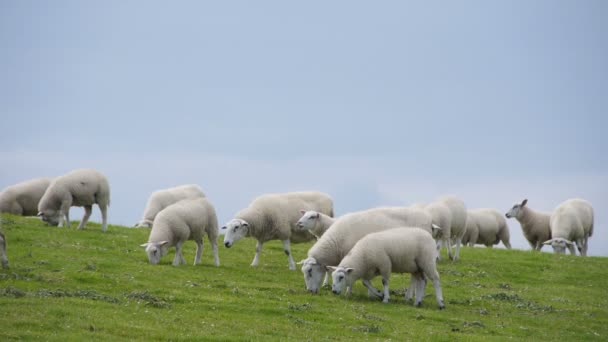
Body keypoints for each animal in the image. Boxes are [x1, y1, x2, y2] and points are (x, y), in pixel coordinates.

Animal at [298, 206, 436, 294]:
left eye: (310, 271)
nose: (309, 291)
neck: (337, 242)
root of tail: (429, 220)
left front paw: (349, 290)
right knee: (416, 276)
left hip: (422, 256)